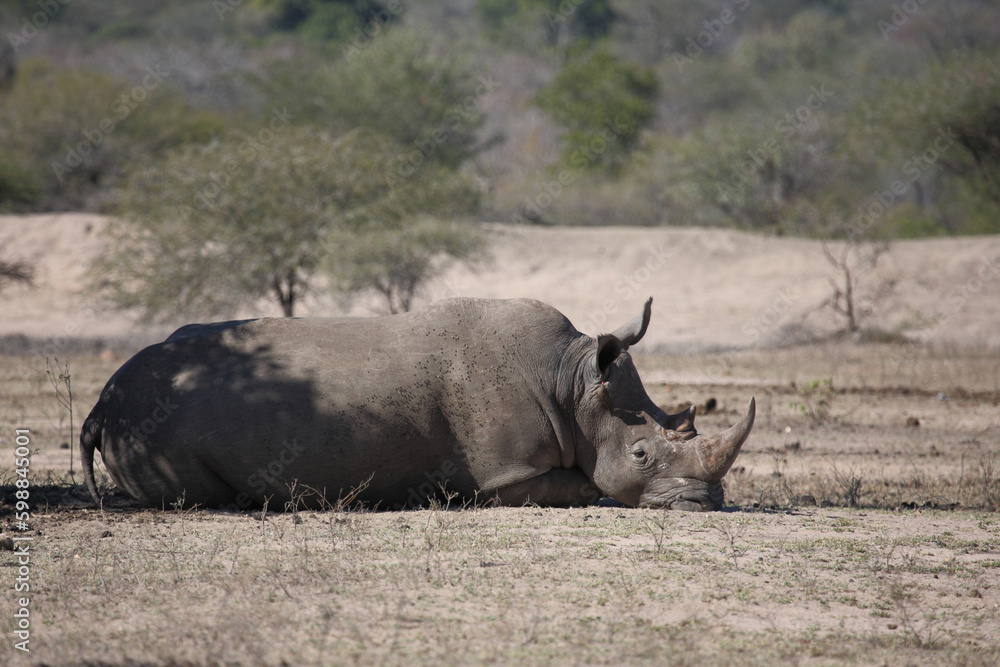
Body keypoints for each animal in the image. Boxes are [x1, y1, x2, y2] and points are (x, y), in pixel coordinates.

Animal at [80, 297, 754, 512]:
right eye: (640, 454)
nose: (706, 502)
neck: (571, 380)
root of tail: (101, 404)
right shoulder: (510, 474)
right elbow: (590, 487)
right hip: (151, 422)